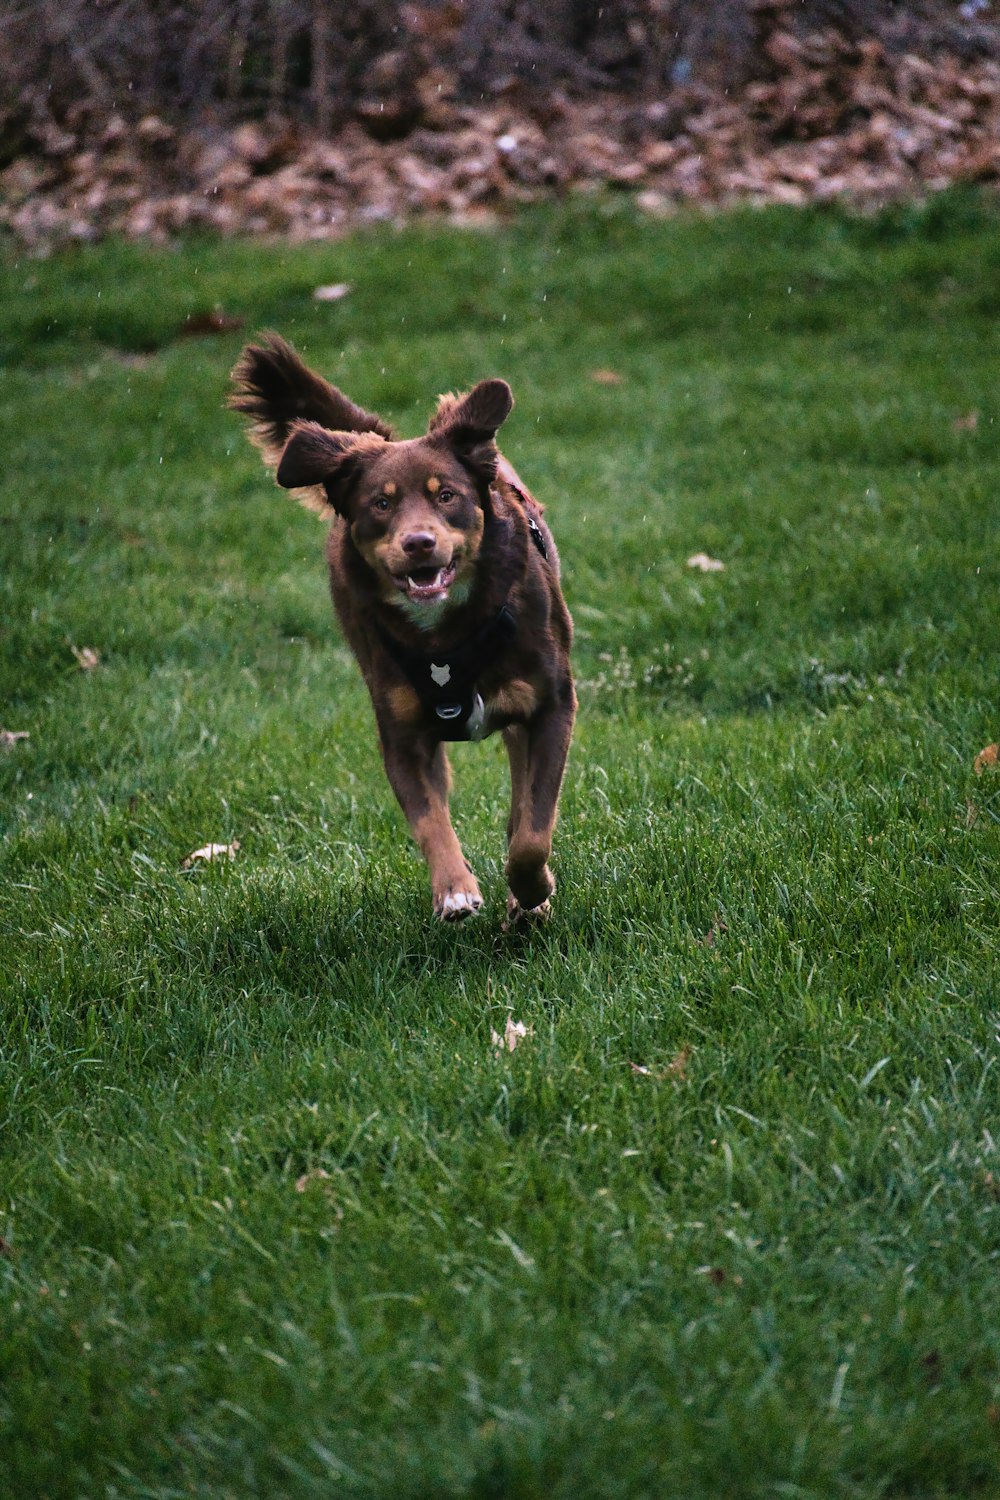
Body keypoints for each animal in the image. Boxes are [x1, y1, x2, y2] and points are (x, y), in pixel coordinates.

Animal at [226, 339, 569, 918]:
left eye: (447, 495)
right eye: (382, 503)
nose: (418, 543)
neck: (447, 637)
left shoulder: (551, 706)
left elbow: (532, 830)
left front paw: (532, 891)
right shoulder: (402, 734)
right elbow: (430, 821)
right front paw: (455, 889)